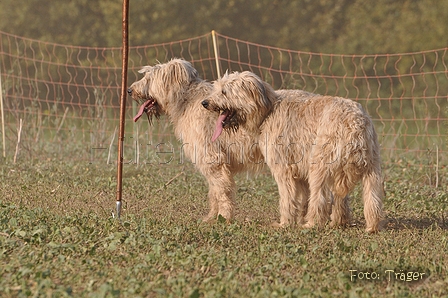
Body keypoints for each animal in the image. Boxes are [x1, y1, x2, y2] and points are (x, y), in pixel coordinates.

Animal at [204, 70, 384, 233]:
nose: (204, 103)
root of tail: (355, 123)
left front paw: (285, 223)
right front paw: (298, 218)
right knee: (369, 200)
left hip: (320, 166)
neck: (268, 109)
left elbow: (288, 198)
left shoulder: (284, 170)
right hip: (372, 170)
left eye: (224, 91)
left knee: (320, 198)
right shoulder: (299, 171)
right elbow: (302, 199)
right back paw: (362, 225)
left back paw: (312, 224)